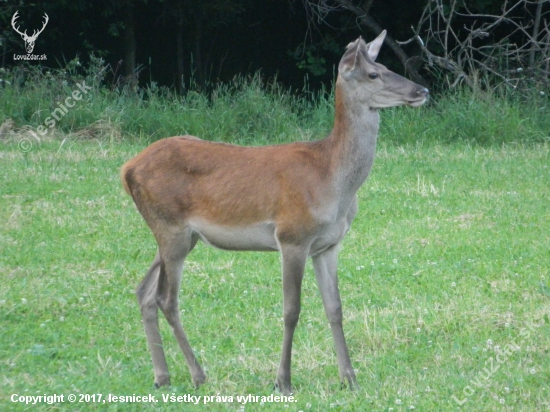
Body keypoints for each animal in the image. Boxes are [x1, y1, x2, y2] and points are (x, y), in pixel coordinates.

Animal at [122, 30, 432, 394]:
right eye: (374, 73)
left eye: (385, 66)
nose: (422, 91)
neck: (333, 182)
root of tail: (127, 169)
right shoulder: (292, 236)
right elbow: (291, 310)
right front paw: (283, 380)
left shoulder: (328, 245)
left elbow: (335, 308)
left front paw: (349, 378)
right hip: (171, 228)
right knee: (166, 299)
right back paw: (198, 375)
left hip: (178, 234)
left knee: (144, 291)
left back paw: (162, 376)